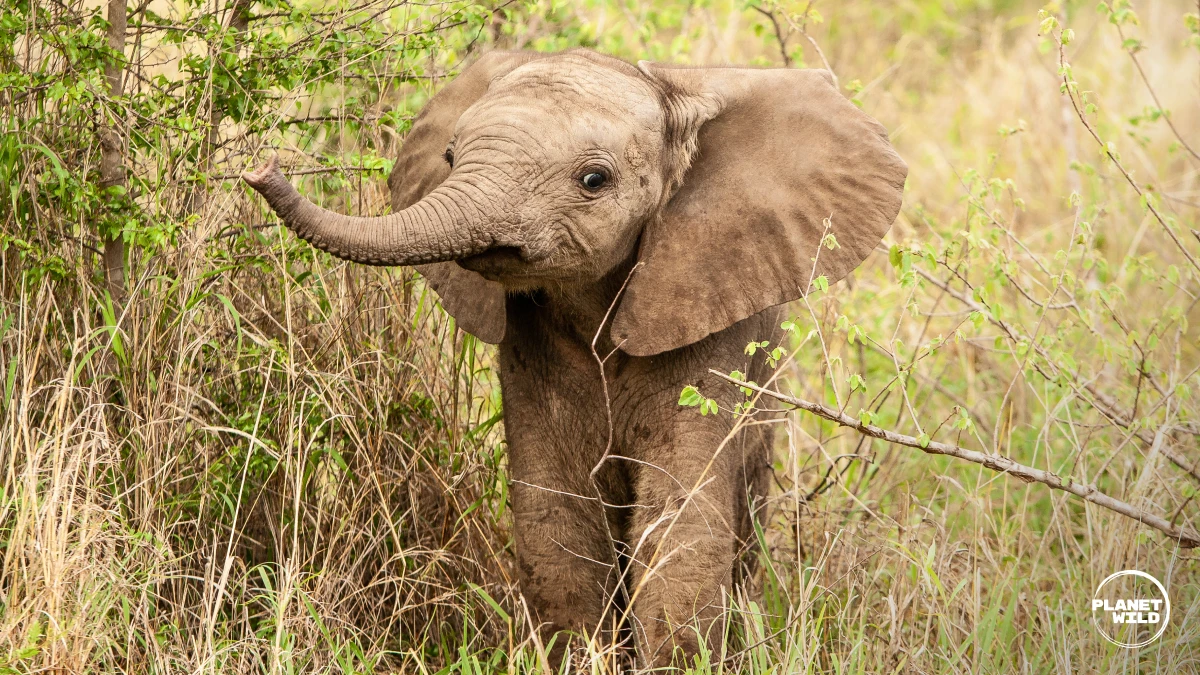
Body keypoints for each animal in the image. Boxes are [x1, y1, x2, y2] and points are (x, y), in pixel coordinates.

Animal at [243, 49, 906, 667]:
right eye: (450, 159)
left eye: (593, 180)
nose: (260, 166)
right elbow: (557, 519)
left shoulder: (709, 307)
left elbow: (678, 524)